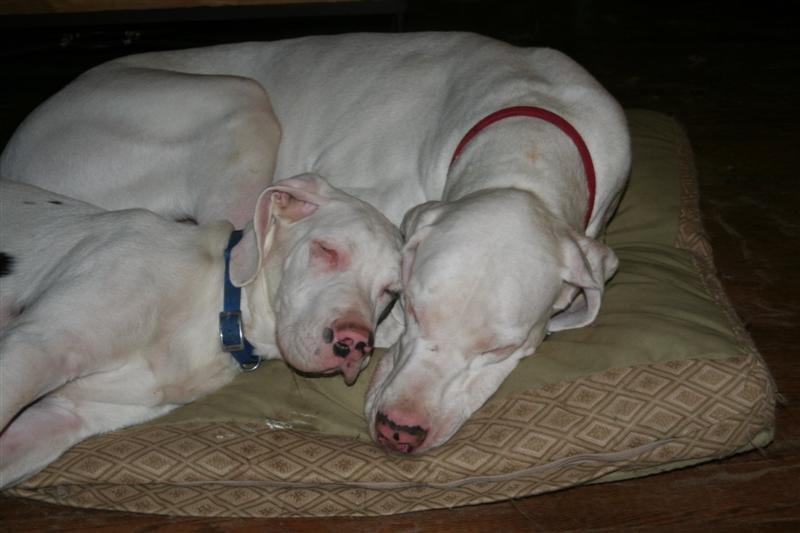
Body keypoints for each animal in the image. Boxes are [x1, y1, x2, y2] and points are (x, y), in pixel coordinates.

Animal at [0, 175, 402, 486]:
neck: (210, 312)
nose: (356, 344)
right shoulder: (34, 349)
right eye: (326, 249)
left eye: (391, 291)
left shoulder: (63, 415)